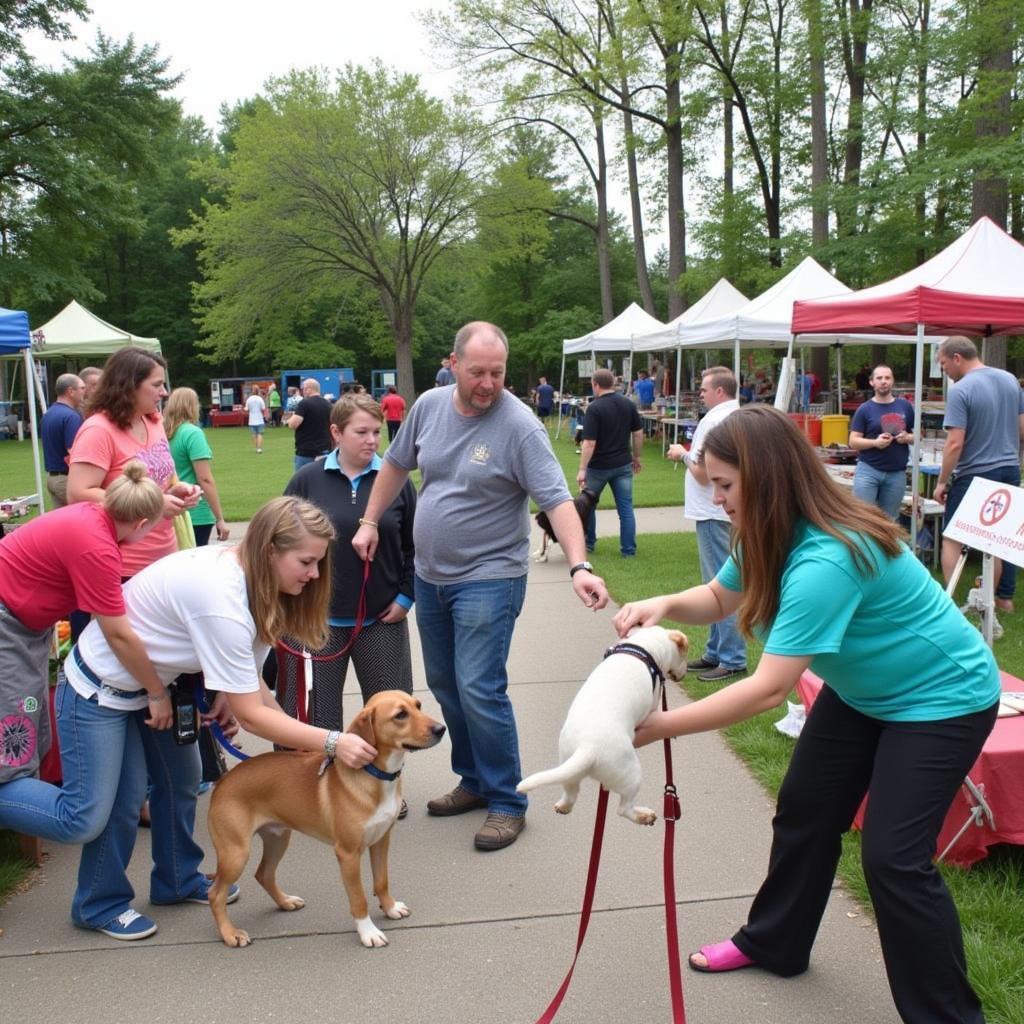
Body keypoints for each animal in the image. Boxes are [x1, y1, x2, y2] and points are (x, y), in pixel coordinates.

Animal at [206, 692, 444, 946]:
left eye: (418, 706)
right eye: (400, 715)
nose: (441, 729)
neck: (376, 777)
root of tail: (223, 781)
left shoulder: (381, 840)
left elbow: (381, 881)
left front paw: (389, 908)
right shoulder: (348, 854)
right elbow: (359, 899)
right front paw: (368, 932)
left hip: (277, 839)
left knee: (264, 874)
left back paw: (285, 901)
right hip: (236, 853)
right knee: (216, 894)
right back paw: (230, 933)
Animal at [520, 622, 688, 823]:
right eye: (685, 654)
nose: (685, 674)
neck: (645, 644)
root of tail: (588, 747)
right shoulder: (653, 704)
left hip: (568, 768)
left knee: (570, 794)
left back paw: (564, 806)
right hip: (632, 774)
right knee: (623, 808)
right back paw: (644, 815)